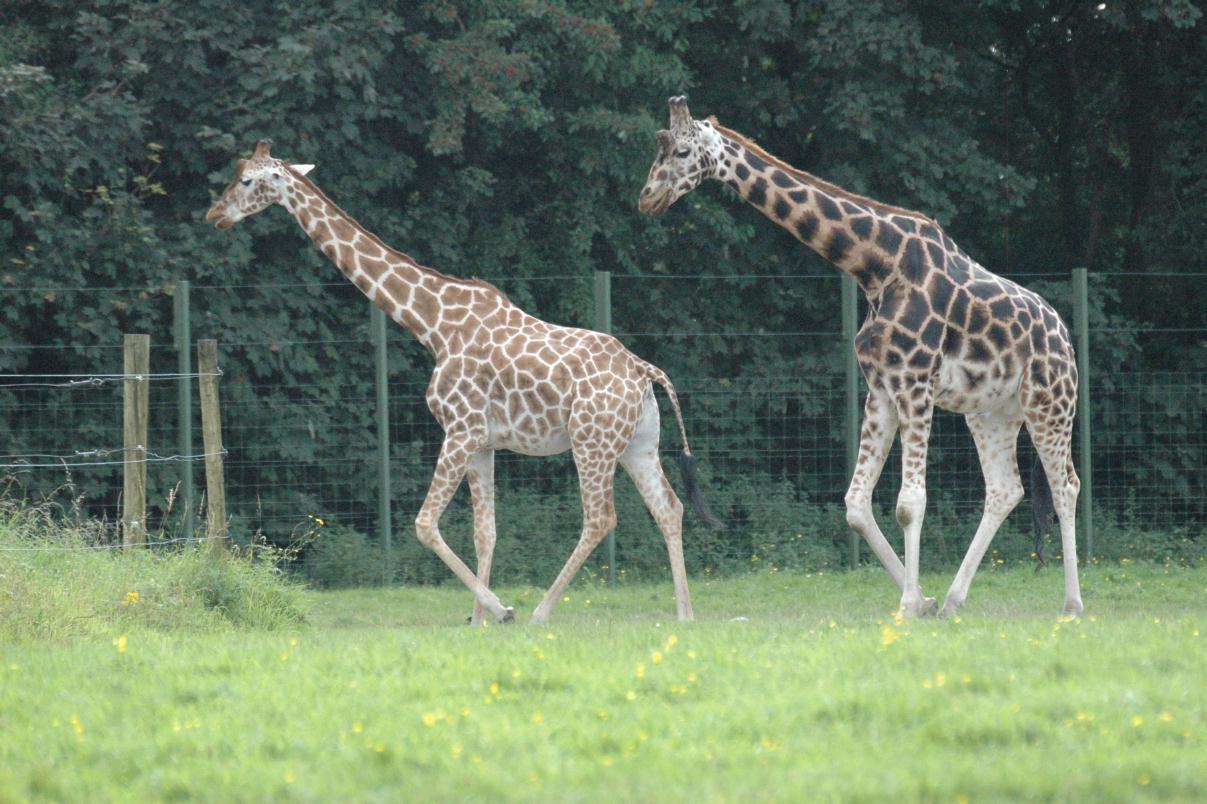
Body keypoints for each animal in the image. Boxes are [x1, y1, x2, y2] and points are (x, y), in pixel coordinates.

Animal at [206, 140, 714, 622]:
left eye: (247, 180)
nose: (215, 214)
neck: (434, 325)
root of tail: (645, 371)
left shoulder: (459, 429)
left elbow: (425, 524)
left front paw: (502, 610)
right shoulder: (483, 442)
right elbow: (485, 532)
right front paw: (478, 620)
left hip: (591, 441)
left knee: (600, 518)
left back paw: (541, 612)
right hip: (636, 444)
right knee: (668, 507)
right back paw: (685, 614)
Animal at [642, 97, 1086, 615]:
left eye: (683, 151)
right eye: (659, 146)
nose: (647, 197)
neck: (875, 267)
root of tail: (1064, 335)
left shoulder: (915, 383)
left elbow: (910, 502)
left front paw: (908, 605)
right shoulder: (881, 390)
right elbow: (856, 504)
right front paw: (924, 599)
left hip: (1050, 403)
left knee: (1066, 485)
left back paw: (1072, 604)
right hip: (991, 412)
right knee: (1004, 488)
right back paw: (954, 599)